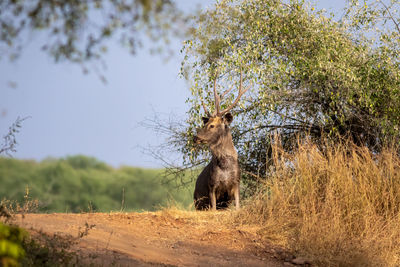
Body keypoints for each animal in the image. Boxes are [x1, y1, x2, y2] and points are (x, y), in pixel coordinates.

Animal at [194, 71, 250, 211]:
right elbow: (213, 208)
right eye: (205, 123)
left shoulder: (236, 183)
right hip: (197, 203)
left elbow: (238, 207)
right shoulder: (212, 186)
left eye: (212, 125)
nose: (195, 137)